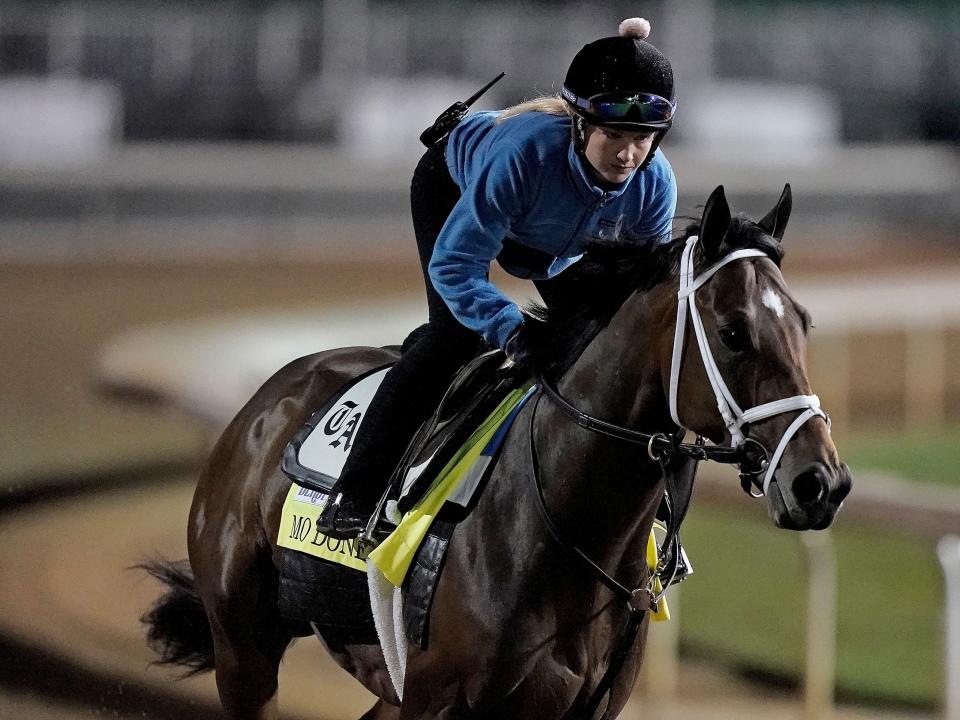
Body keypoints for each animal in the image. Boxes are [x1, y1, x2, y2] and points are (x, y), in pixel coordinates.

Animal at [141, 186, 848, 720]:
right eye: (732, 332)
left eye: (804, 323)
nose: (822, 484)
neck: (564, 530)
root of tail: (265, 402)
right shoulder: (435, 703)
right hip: (244, 647)